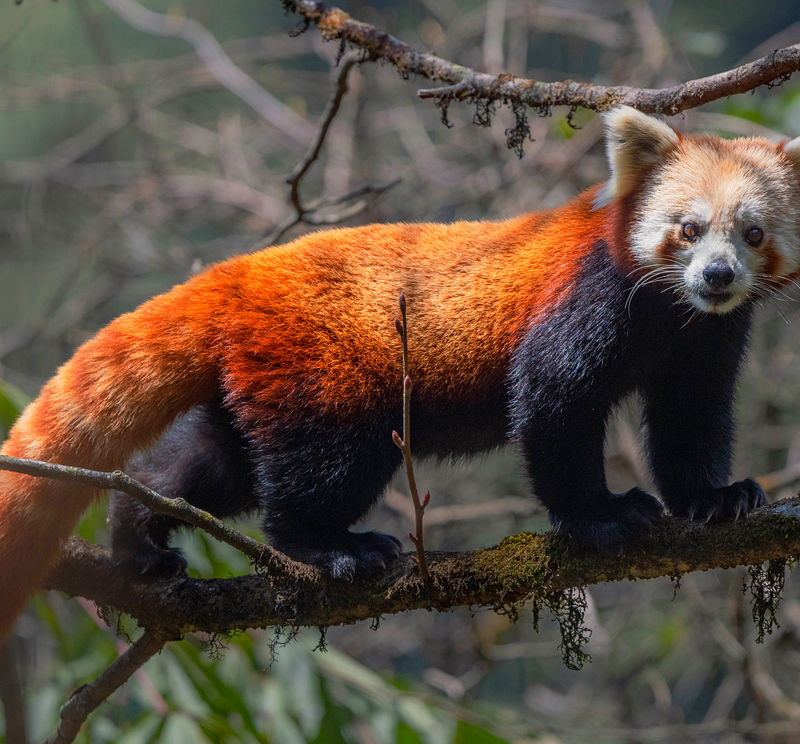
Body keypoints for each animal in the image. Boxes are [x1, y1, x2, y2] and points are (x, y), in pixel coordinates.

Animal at [1, 106, 800, 640]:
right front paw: (600, 514)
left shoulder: (705, 339)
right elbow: (552, 404)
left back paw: (139, 540)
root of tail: (246, 272)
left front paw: (713, 498)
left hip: (257, 380)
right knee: (319, 470)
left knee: (204, 468)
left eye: (753, 234)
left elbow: (692, 418)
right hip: (327, 374)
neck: (671, 312)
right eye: (688, 229)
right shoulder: (588, 297)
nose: (718, 276)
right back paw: (329, 548)